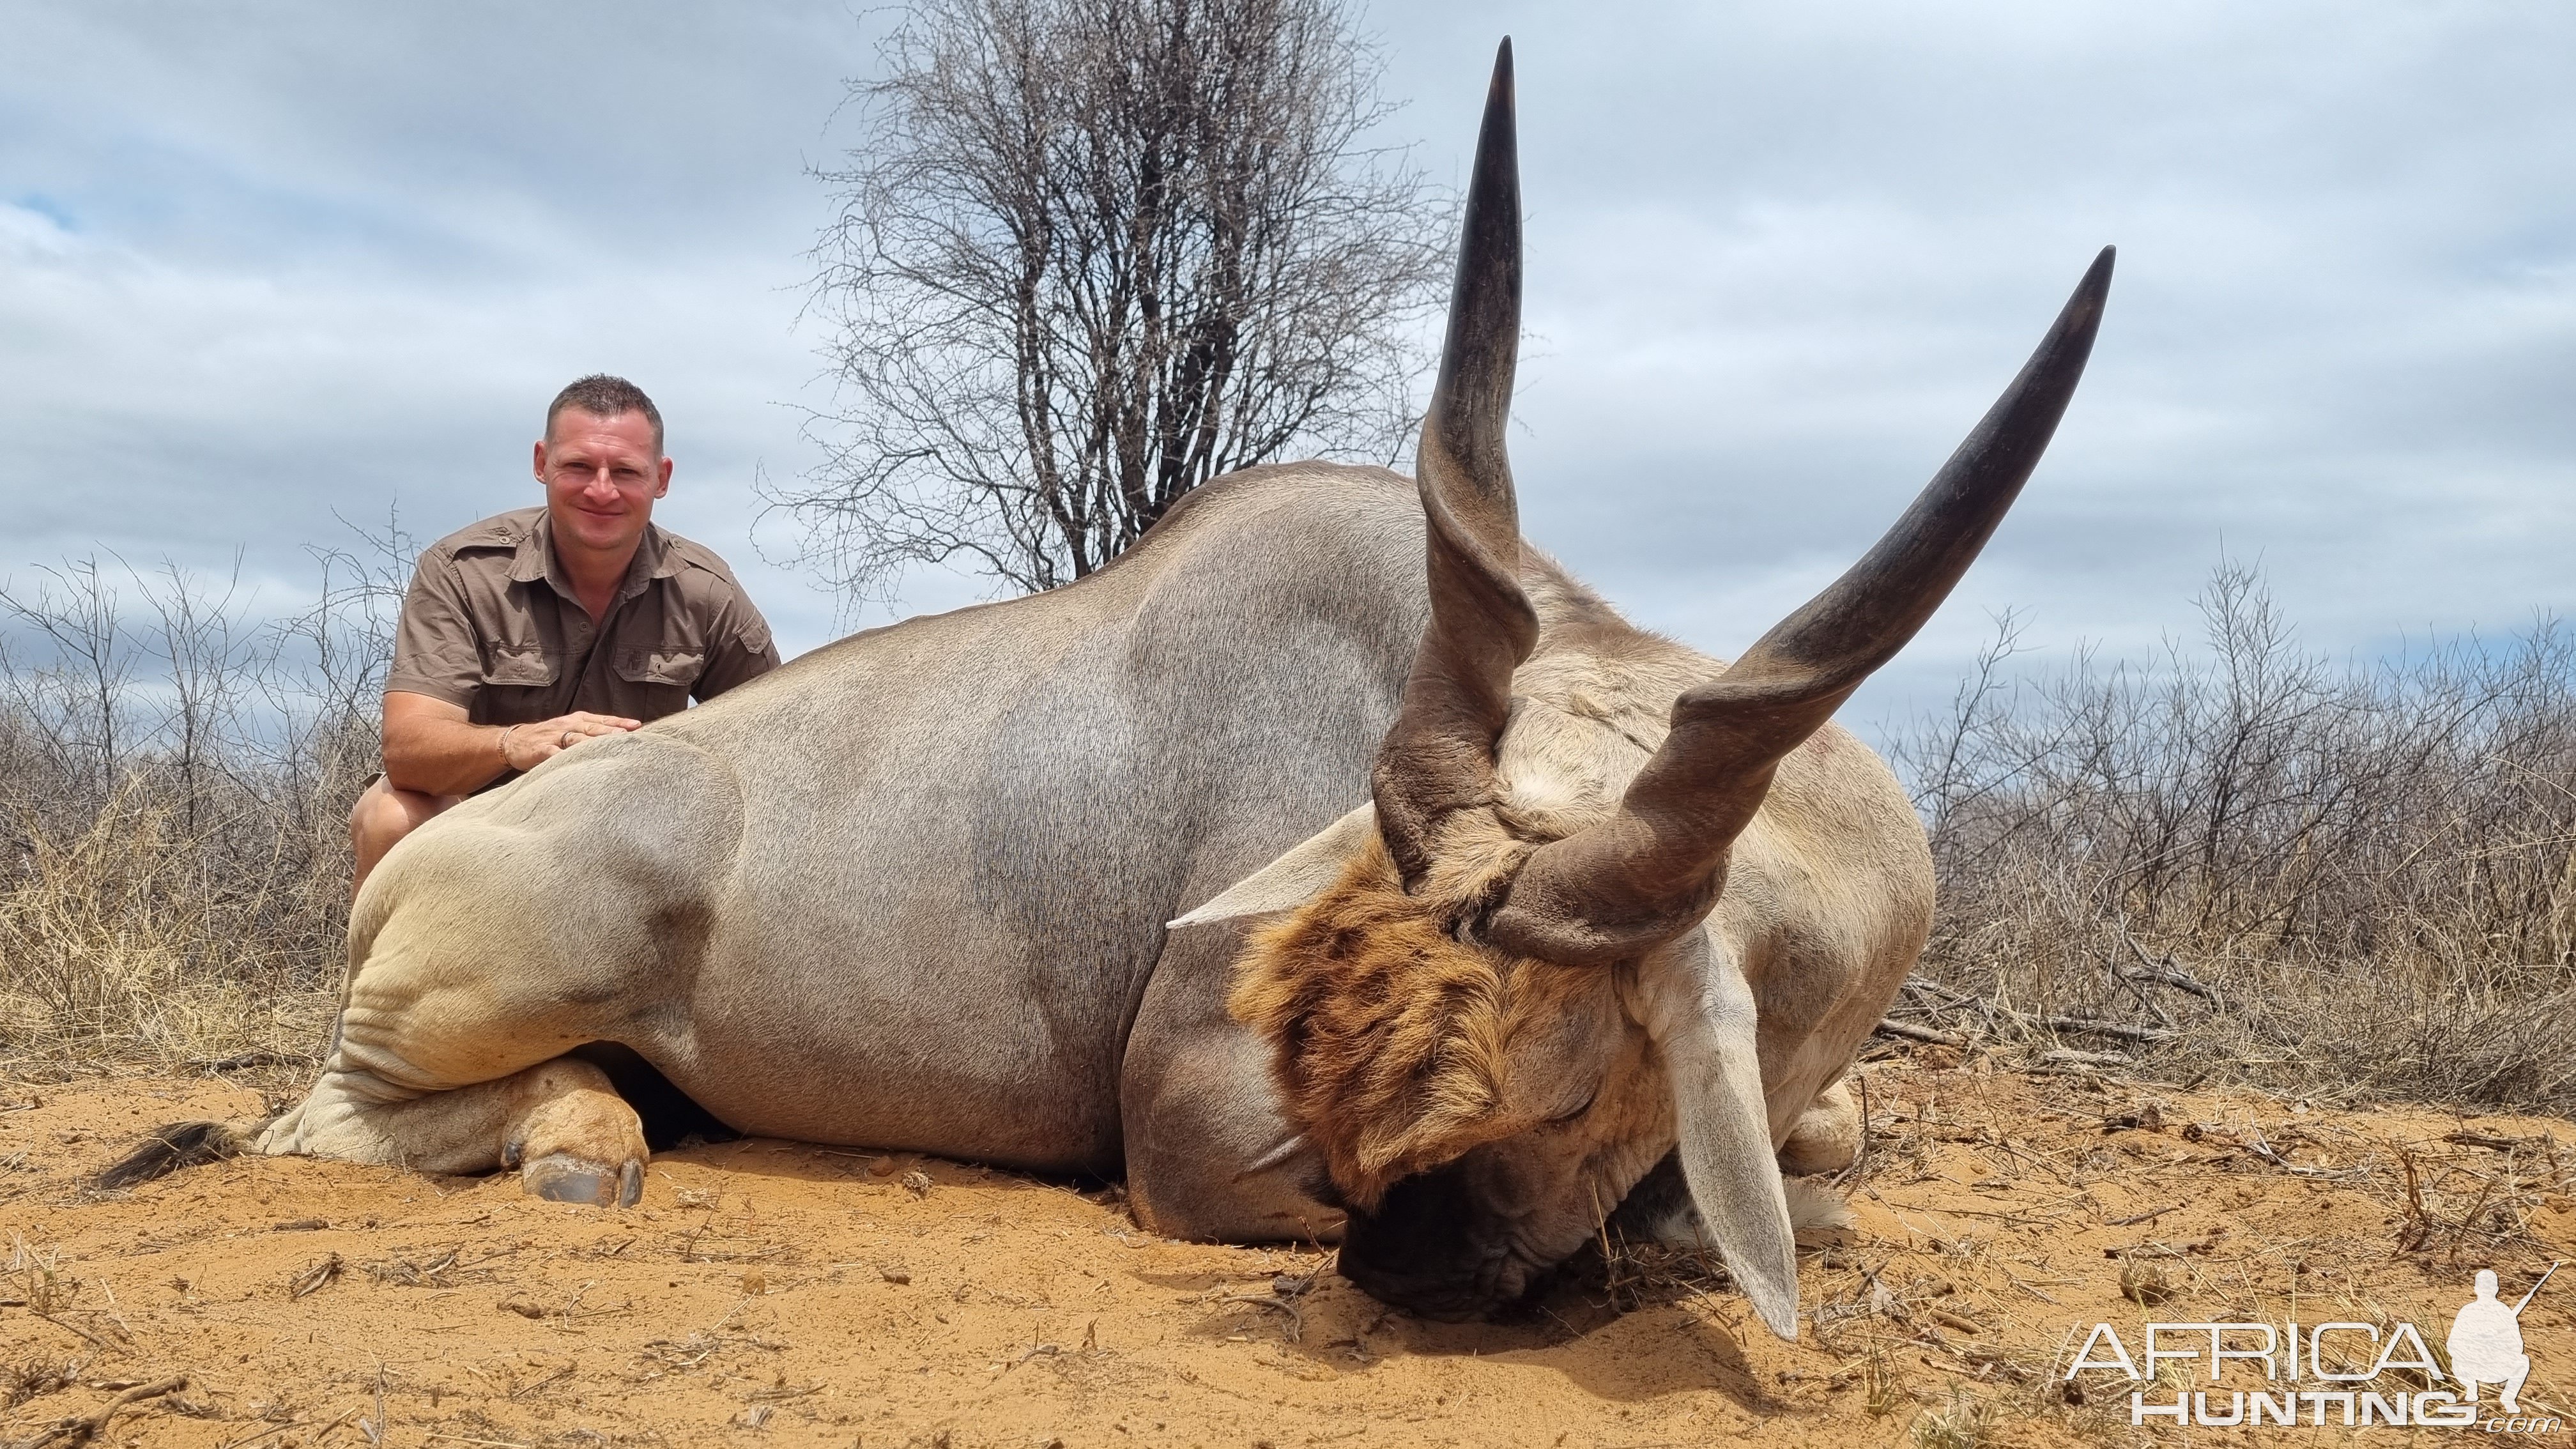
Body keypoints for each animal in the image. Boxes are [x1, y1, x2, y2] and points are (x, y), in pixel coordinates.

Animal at [105, 45, 2112, 1330]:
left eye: (1589, 1068)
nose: (1405, 1272)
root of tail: (418, 863)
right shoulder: (1202, 1143)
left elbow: (1820, 1154)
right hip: (479, 987)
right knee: (316, 1119)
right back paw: (579, 1147)